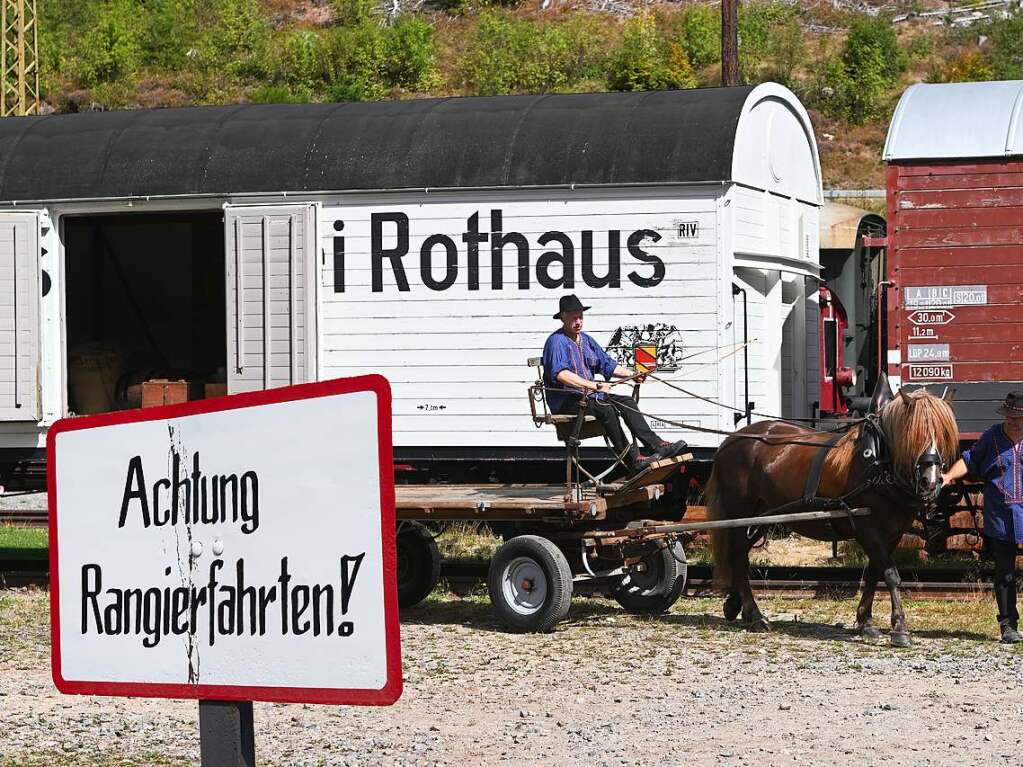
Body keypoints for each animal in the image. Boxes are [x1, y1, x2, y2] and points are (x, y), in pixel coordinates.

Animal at [703, 380, 957, 650]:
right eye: (914, 434)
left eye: (943, 434)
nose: (930, 482)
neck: (879, 462)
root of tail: (731, 440)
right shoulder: (865, 526)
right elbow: (890, 574)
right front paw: (899, 628)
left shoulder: (893, 532)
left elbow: (875, 573)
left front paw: (865, 622)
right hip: (739, 513)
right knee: (737, 556)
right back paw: (755, 615)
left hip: (762, 515)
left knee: (738, 555)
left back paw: (737, 605)